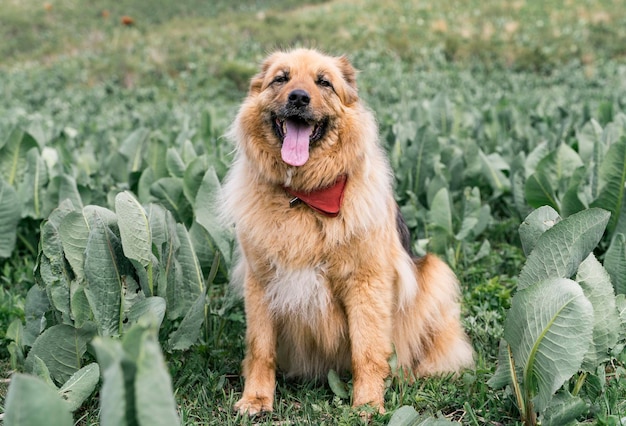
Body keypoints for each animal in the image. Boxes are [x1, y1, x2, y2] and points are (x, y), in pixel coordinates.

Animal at [222, 48, 470, 414]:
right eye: (281, 78)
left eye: (324, 82)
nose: (299, 97)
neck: (304, 196)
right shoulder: (261, 282)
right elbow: (260, 349)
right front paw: (256, 398)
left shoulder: (365, 282)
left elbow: (366, 351)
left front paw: (367, 404)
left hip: (435, 272)